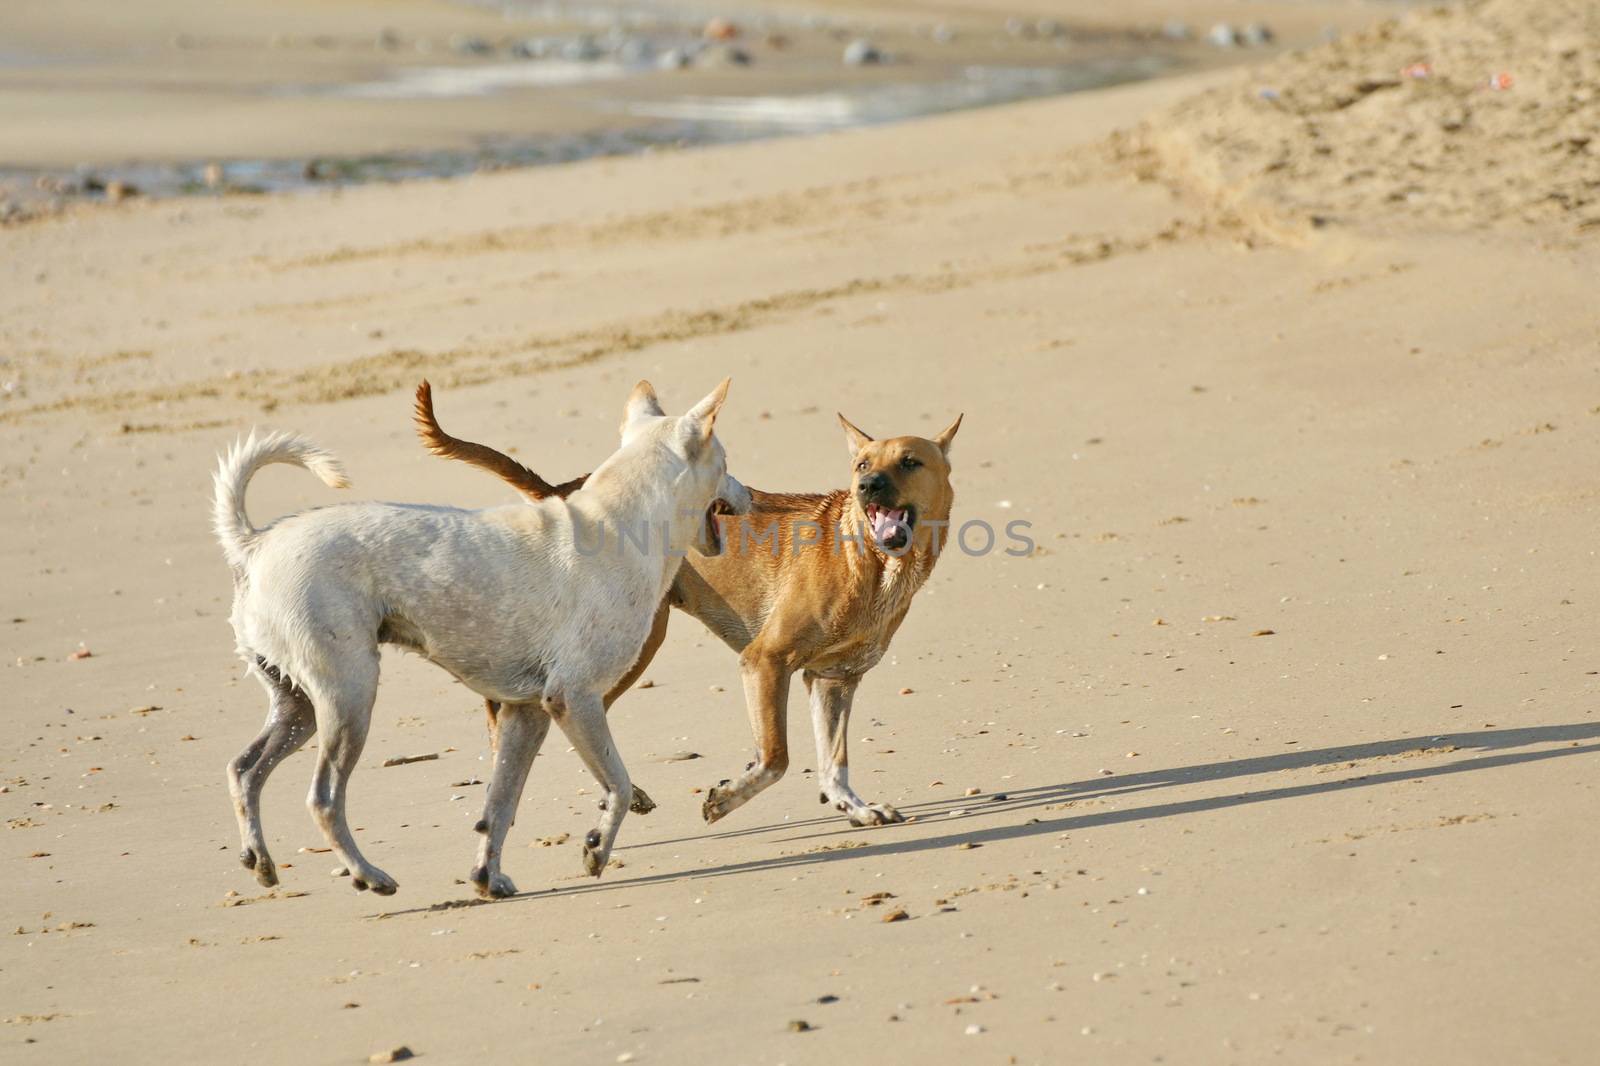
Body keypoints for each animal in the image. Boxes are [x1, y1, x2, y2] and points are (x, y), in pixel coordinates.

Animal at [208, 377, 748, 889]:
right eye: (725, 461)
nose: (747, 495)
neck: (621, 521)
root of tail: (253, 544)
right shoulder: (574, 698)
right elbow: (617, 781)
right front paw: (596, 848)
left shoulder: (527, 712)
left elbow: (500, 804)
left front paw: (490, 879)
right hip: (349, 698)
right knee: (322, 798)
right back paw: (369, 875)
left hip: (298, 705)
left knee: (244, 769)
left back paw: (259, 860)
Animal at [416, 379, 960, 819]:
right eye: (862, 464)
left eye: (909, 462)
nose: (867, 486)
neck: (872, 564)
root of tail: (567, 490)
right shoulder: (765, 660)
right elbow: (775, 757)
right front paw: (725, 798)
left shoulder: (834, 680)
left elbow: (834, 760)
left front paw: (856, 808)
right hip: (632, 646)